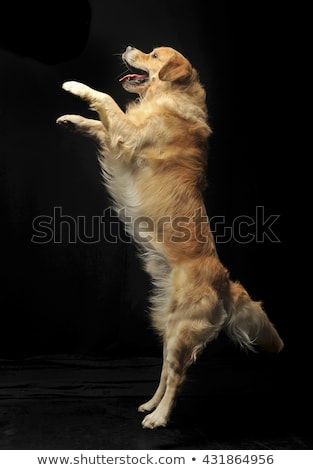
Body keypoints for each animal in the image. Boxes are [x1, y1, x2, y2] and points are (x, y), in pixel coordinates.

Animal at [56, 46, 282, 428]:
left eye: (153, 54)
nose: (128, 48)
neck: (169, 98)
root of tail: (225, 282)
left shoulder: (130, 135)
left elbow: (107, 102)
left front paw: (76, 86)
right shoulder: (120, 139)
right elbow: (101, 122)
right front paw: (73, 119)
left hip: (183, 331)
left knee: (177, 376)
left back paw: (159, 418)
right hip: (167, 325)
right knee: (164, 372)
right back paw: (149, 404)